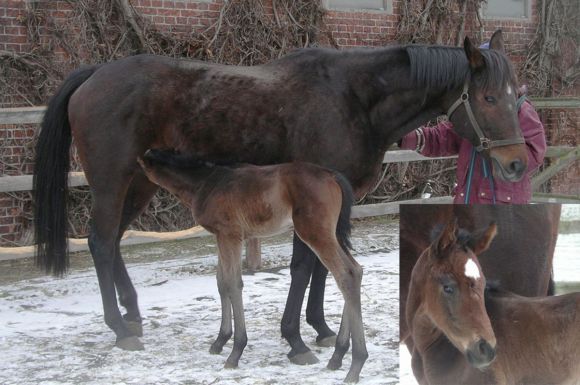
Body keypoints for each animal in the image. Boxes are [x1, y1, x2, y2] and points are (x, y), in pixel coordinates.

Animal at [137, 149, 368, 380]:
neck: (206, 182)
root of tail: (332, 175)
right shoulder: (220, 237)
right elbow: (221, 282)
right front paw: (220, 341)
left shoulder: (230, 235)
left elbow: (233, 284)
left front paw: (235, 351)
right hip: (333, 234)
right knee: (355, 270)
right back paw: (337, 357)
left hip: (315, 233)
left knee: (345, 274)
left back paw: (355, 365)